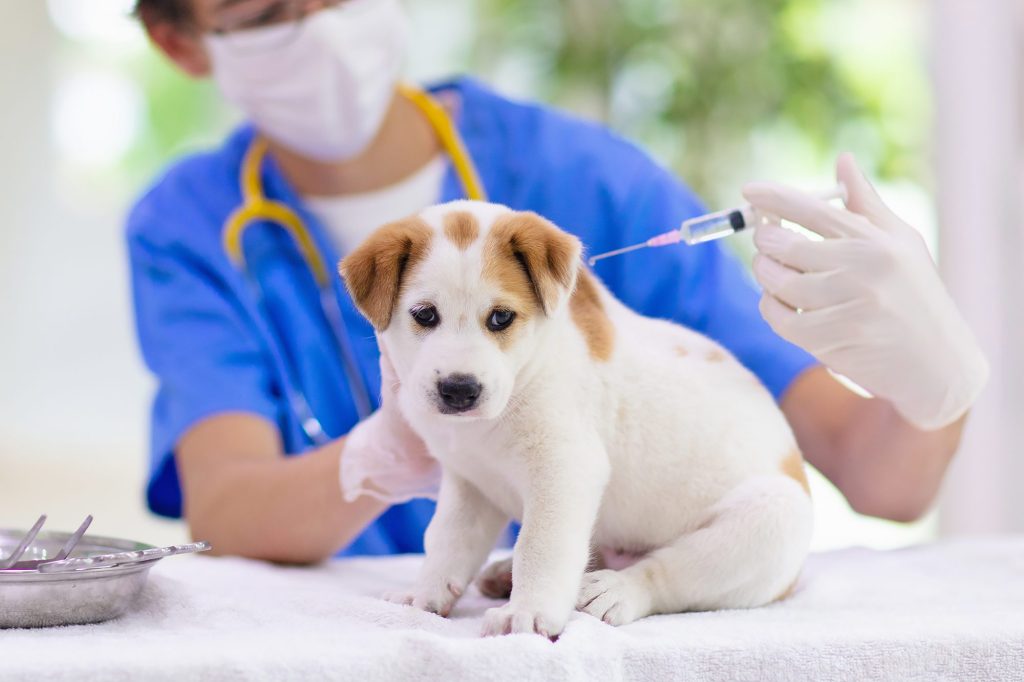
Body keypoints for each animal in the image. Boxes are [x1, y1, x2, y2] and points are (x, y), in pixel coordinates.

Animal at [339, 199, 811, 634]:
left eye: (501, 317)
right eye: (424, 315)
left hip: (772, 519)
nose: (459, 389)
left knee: (667, 573)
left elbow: (540, 546)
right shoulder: (469, 484)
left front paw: (528, 612)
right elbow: (446, 541)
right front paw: (425, 592)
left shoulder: (564, 469)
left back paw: (616, 589)